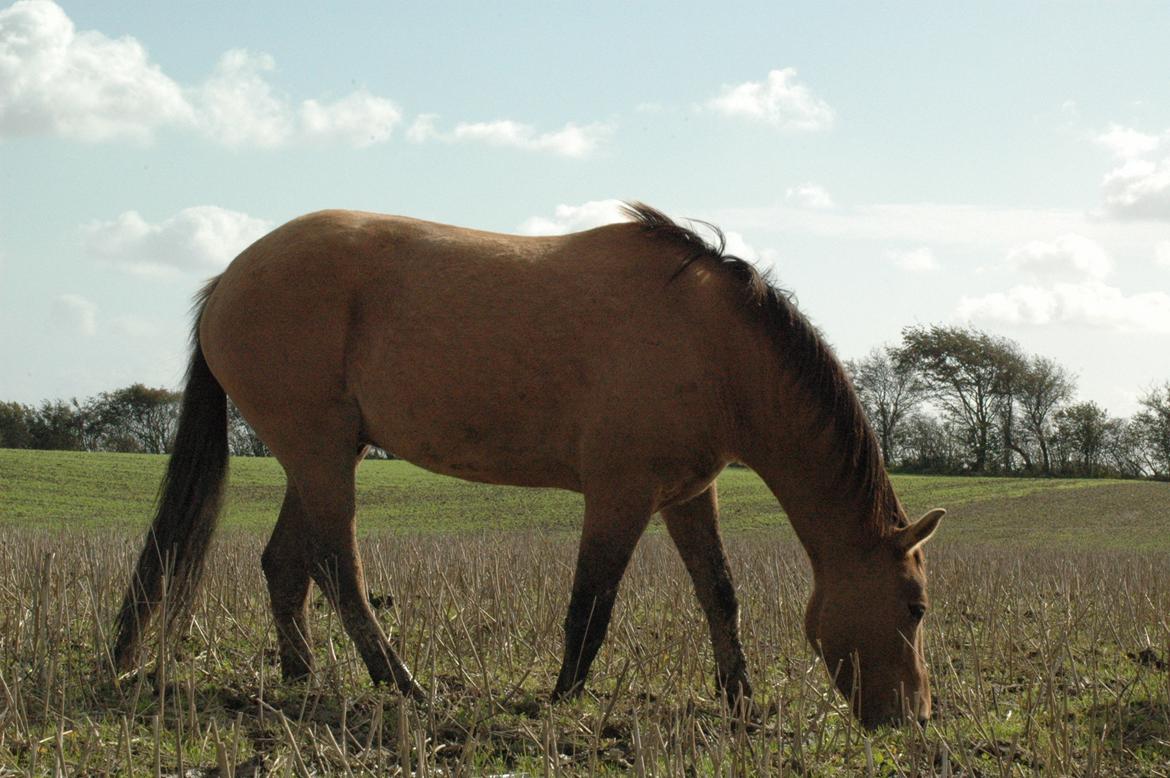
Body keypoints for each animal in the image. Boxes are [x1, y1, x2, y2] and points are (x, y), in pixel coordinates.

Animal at [111, 203, 940, 725]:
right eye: (914, 607)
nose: (915, 718)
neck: (714, 343)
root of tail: (228, 278)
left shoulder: (685, 495)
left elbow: (720, 595)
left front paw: (741, 701)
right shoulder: (619, 494)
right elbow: (591, 604)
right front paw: (562, 699)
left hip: (317, 454)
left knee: (286, 565)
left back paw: (300, 680)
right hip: (320, 455)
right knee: (338, 568)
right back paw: (400, 683)